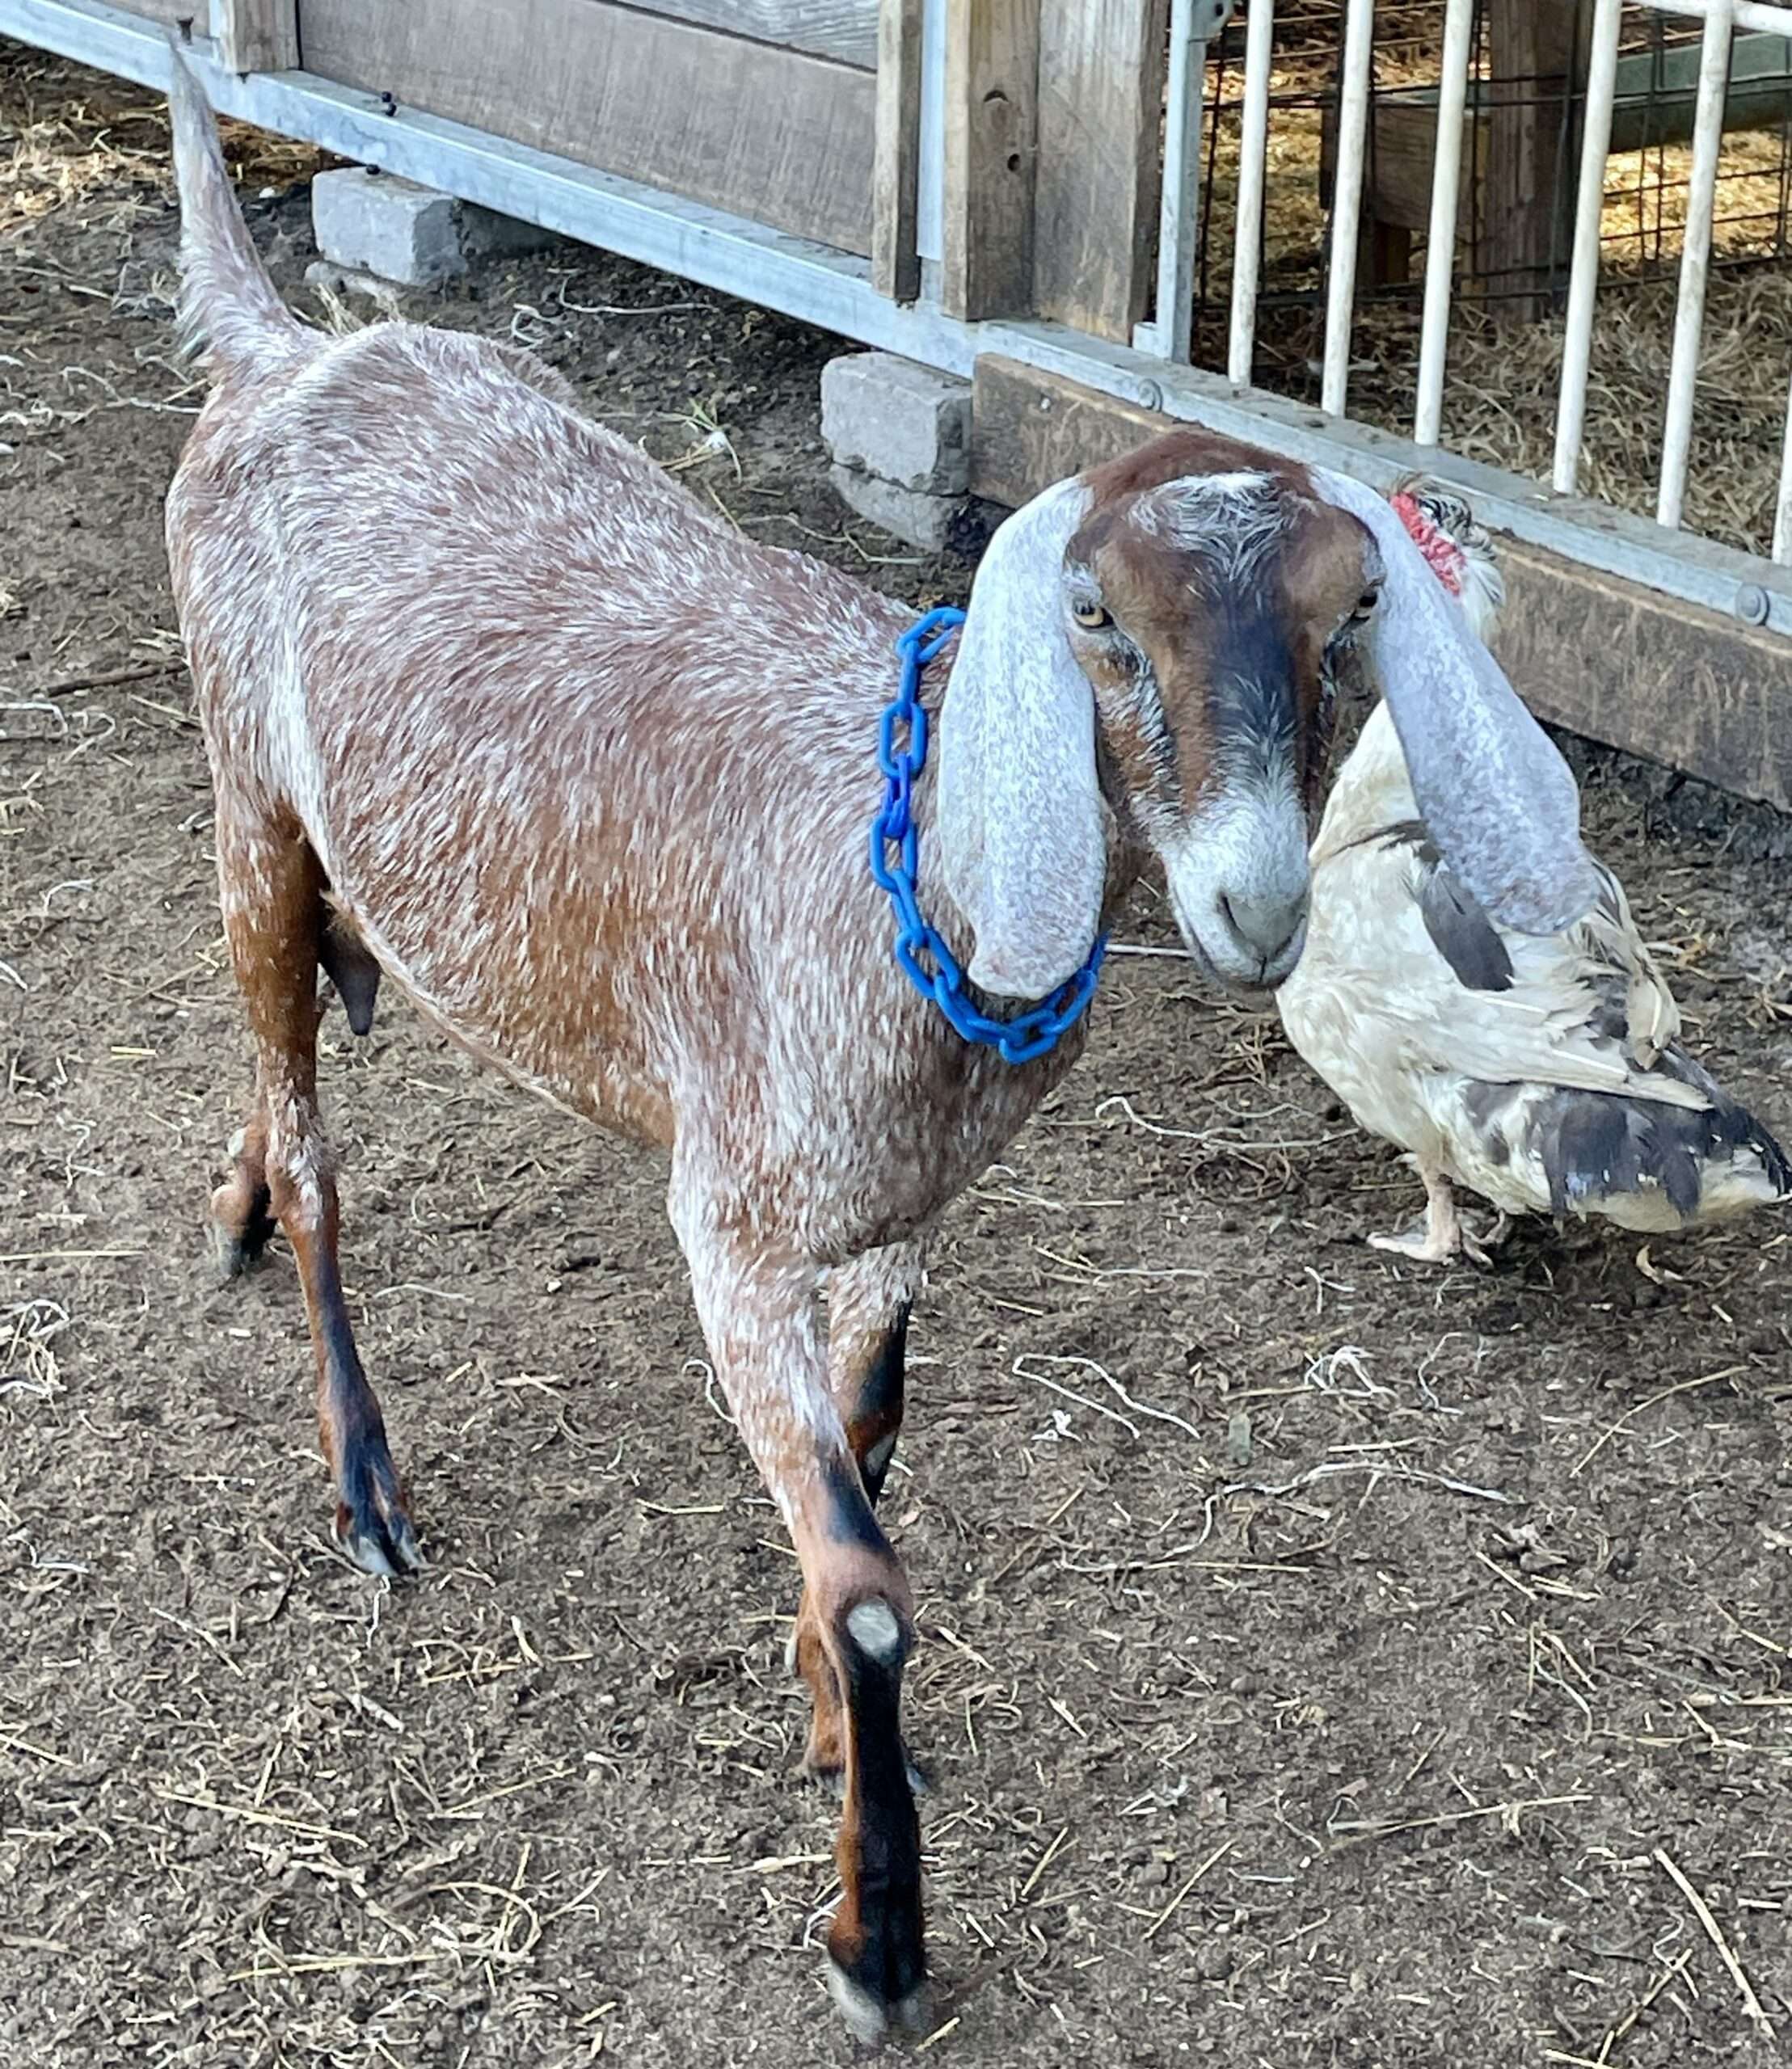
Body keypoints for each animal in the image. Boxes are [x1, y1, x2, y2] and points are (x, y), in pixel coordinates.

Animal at [164, 48, 1589, 2036]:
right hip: (245, 786)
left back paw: (231, 1207)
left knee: (277, 1037)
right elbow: (871, 1586)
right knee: (309, 1137)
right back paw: (361, 1471)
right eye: (1094, 617)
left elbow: (873, 1437)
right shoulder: (733, 1231)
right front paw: (879, 1930)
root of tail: (285, 351)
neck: (894, 863)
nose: (1253, 901)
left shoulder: (899, 1219)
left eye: (1352, 610)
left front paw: (824, 1713)